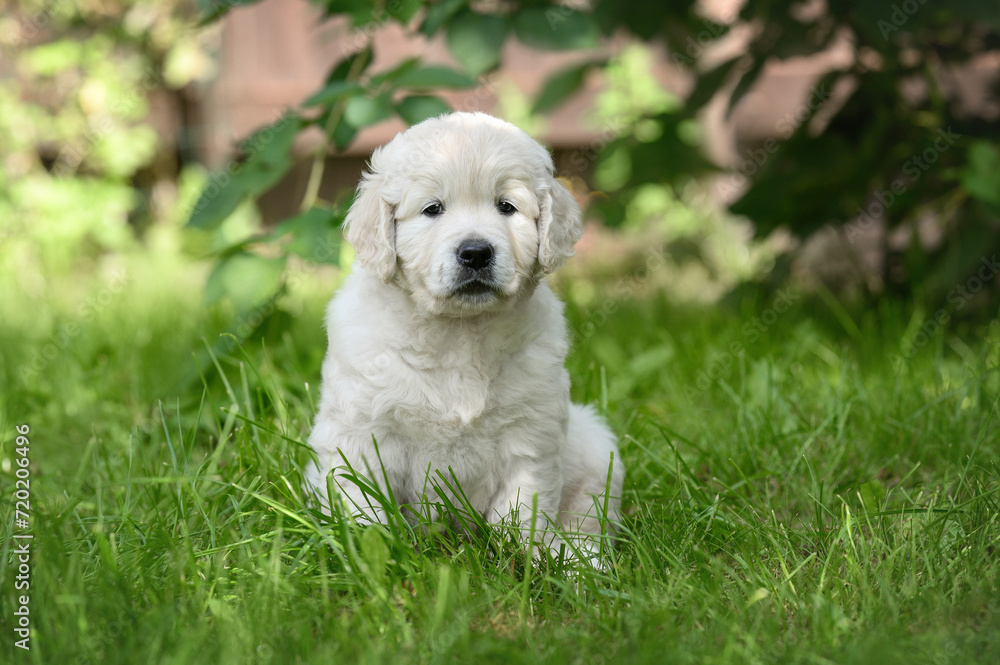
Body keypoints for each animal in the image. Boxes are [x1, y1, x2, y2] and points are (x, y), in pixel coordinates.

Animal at [304, 113, 620, 556]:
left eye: (506, 206)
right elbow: (362, 505)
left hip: (597, 451)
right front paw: (369, 551)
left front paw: (525, 559)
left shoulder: (531, 432)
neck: (459, 331)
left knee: (587, 518)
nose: (475, 252)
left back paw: (581, 559)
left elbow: (522, 509)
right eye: (433, 209)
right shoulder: (361, 431)